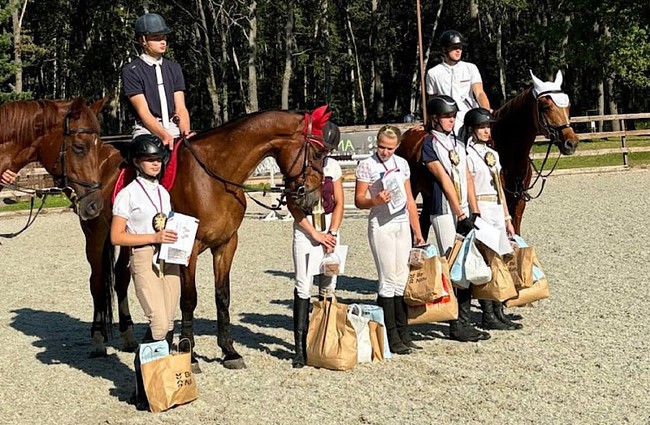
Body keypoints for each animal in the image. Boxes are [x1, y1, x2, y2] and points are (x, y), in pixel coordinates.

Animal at [83, 107, 332, 368]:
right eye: (317, 153)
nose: (312, 198)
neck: (215, 177)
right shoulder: (188, 247)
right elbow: (188, 299)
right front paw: (189, 352)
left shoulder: (226, 244)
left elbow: (222, 296)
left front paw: (229, 351)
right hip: (96, 239)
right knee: (97, 283)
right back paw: (99, 341)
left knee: (121, 280)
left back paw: (130, 338)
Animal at [394, 71, 576, 234]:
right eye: (545, 106)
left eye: (568, 106)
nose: (571, 143)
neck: (507, 150)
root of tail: (408, 135)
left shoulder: (518, 202)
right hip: (413, 188)